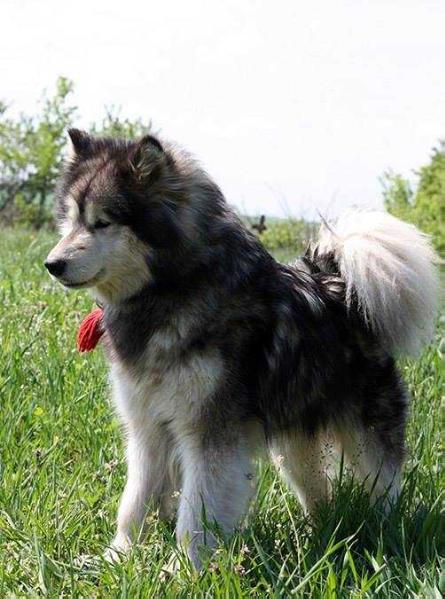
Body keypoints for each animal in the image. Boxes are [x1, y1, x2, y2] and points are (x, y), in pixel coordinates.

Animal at [45, 129, 438, 568]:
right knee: (318, 490)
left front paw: (184, 569)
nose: (52, 264)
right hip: (294, 447)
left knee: (384, 485)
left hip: (366, 438)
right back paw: (320, 531)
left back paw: (383, 530)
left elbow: (196, 513)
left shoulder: (211, 434)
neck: (172, 290)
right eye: (70, 219)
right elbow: (134, 502)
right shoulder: (146, 429)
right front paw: (118, 557)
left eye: (102, 222)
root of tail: (336, 282)